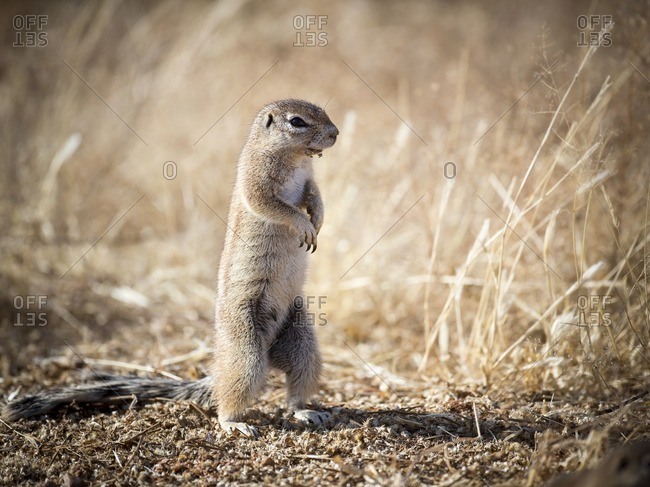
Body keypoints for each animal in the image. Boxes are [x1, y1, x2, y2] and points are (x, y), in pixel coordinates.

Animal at [3, 99, 339, 438]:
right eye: (297, 121)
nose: (335, 134)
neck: (294, 157)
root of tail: (266, 352)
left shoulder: (308, 179)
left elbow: (314, 194)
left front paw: (318, 218)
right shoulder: (255, 179)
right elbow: (270, 205)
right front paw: (302, 223)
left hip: (302, 342)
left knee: (296, 384)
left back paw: (307, 411)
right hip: (246, 351)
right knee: (229, 394)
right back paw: (234, 422)